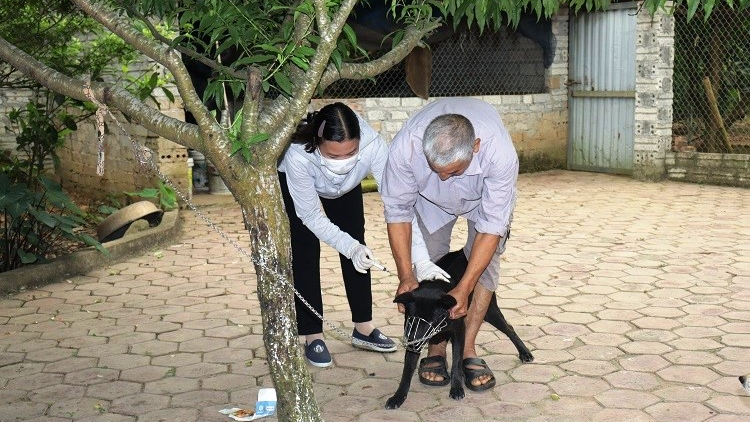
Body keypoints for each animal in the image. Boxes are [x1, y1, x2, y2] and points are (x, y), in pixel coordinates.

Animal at [388, 251, 536, 408]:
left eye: (433, 320)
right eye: (410, 318)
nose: (412, 342)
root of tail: (459, 252)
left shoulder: (459, 334)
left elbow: (457, 363)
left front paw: (457, 388)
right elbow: (407, 370)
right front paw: (398, 396)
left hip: (490, 311)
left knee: (509, 328)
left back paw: (524, 352)